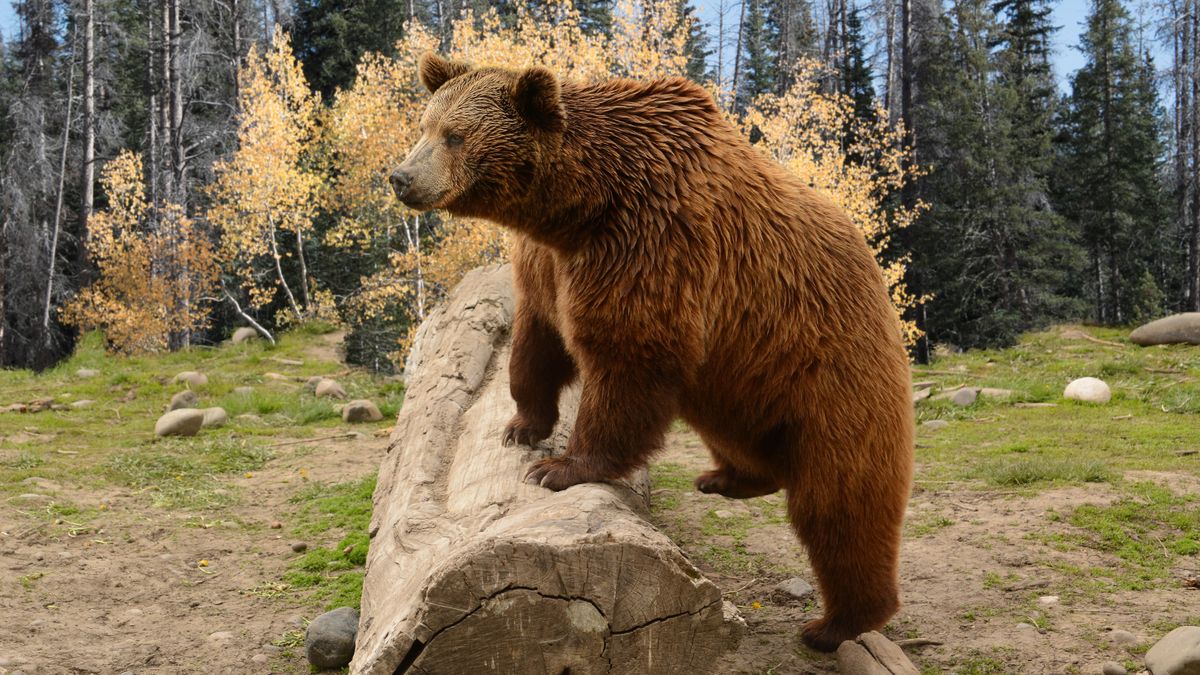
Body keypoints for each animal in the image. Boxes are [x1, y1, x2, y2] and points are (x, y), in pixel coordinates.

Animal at [388, 53, 912, 653]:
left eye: (455, 135)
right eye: (424, 125)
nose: (401, 177)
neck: (579, 208)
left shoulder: (650, 245)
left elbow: (627, 360)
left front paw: (559, 468)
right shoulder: (548, 264)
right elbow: (536, 343)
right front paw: (522, 426)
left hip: (829, 369)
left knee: (840, 504)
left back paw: (835, 623)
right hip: (740, 376)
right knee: (740, 434)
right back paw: (728, 478)